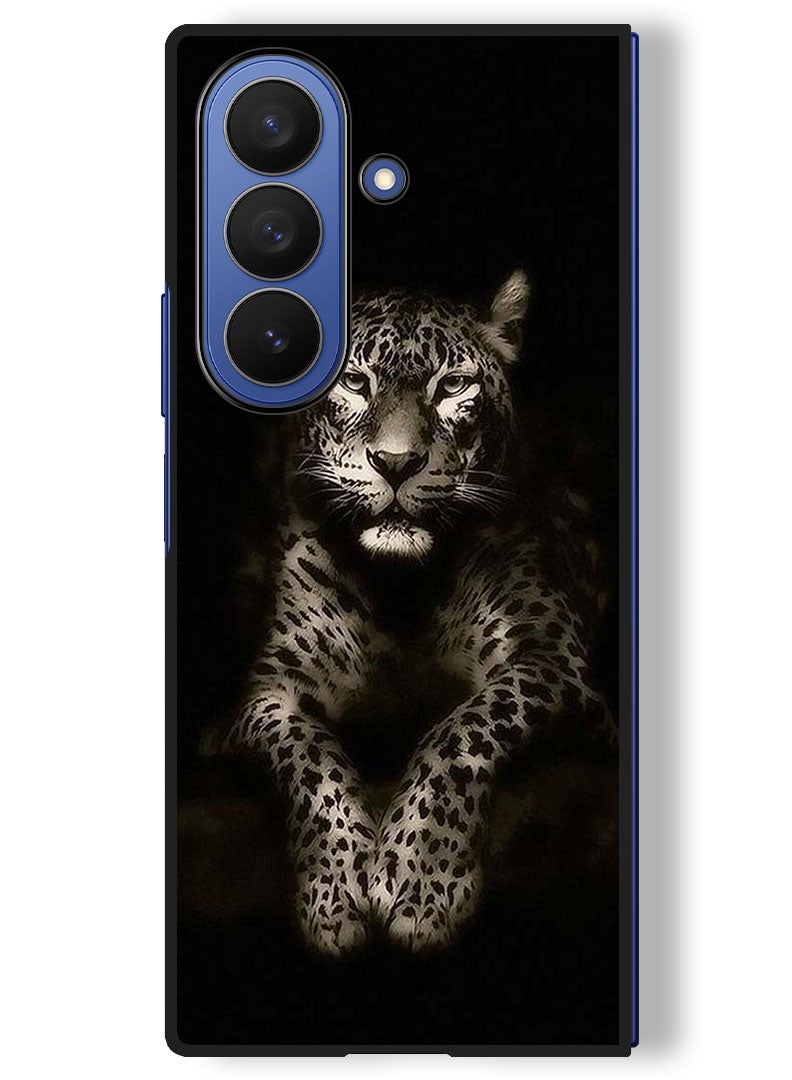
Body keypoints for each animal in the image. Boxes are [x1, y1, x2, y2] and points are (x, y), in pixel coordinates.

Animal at [224, 270, 616, 955]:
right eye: (356, 382)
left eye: (452, 385)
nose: (397, 463)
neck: (402, 589)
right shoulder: (270, 691)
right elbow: (309, 757)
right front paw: (335, 892)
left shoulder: (552, 659)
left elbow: (462, 729)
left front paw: (420, 879)